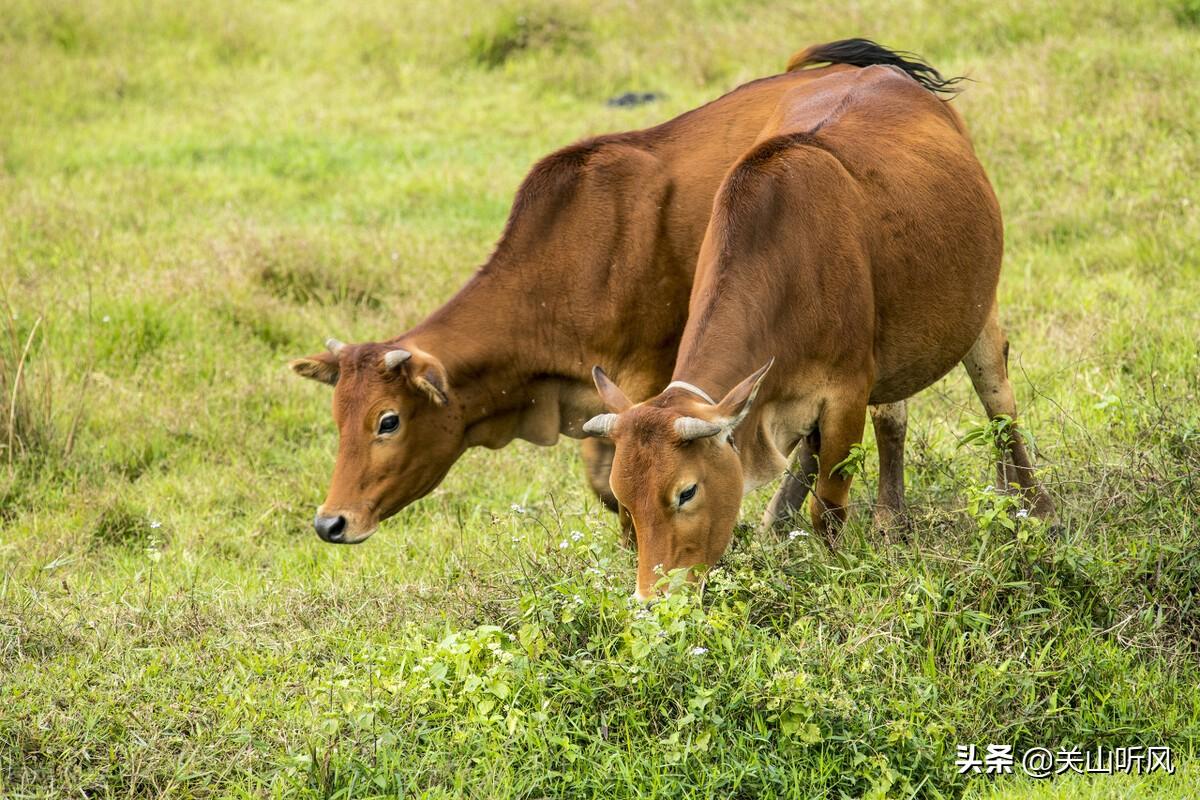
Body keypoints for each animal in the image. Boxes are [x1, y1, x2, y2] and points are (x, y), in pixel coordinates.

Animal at [585, 40, 1056, 597]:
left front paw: (835, 573)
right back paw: (886, 522)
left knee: (999, 403)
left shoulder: (847, 393)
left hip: (978, 310)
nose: (652, 597)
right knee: (890, 420)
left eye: (686, 492)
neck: (788, 264)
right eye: (623, 499)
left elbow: (826, 508)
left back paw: (1033, 505)